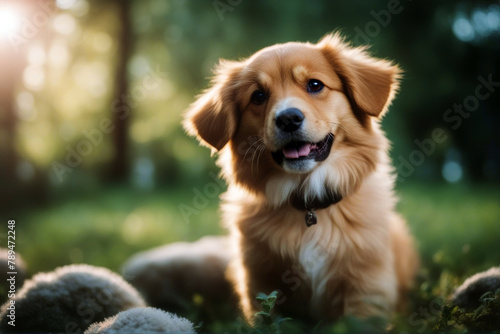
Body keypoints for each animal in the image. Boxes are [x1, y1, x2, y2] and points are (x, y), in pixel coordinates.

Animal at [184, 34, 418, 324]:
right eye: (258, 96)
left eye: (315, 85)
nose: (288, 118)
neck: (309, 200)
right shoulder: (261, 284)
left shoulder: (366, 288)